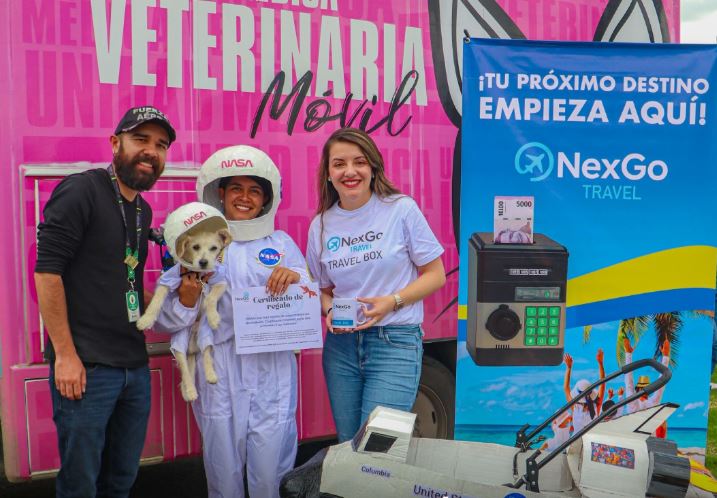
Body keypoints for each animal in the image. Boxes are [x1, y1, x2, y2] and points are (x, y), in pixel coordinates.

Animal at [138, 228, 231, 402]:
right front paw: (146, 320)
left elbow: (211, 297)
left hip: (205, 335)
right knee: (184, 367)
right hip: (179, 341)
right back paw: (190, 391)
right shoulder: (167, 280)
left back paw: (211, 375)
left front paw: (213, 317)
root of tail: (192, 346)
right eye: (195, 247)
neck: (197, 274)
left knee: (206, 354)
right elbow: (157, 300)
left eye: (214, 248)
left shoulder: (220, 281)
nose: (203, 262)